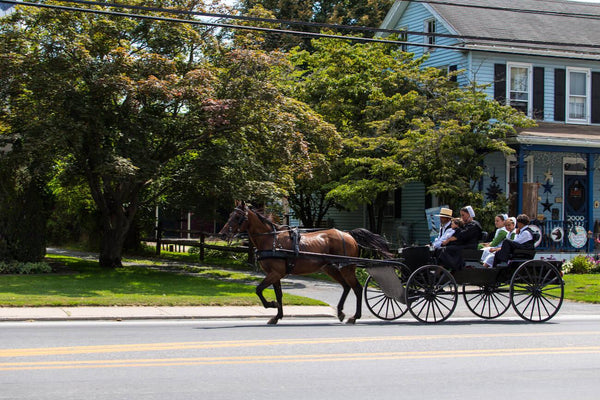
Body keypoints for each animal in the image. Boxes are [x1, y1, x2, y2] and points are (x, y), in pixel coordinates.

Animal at [218, 203, 392, 324]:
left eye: (237, 217)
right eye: (230, 215)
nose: (222, 234)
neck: (271, 239)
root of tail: (348, 234)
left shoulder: (275, 273)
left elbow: (259, 289)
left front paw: (272, 305)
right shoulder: (275, 274)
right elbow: (278, 294)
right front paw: (277, 315)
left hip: (347, 268)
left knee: (357, 288)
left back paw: (354, 317)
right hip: (331, 268)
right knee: (347, 287)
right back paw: (341, 312)